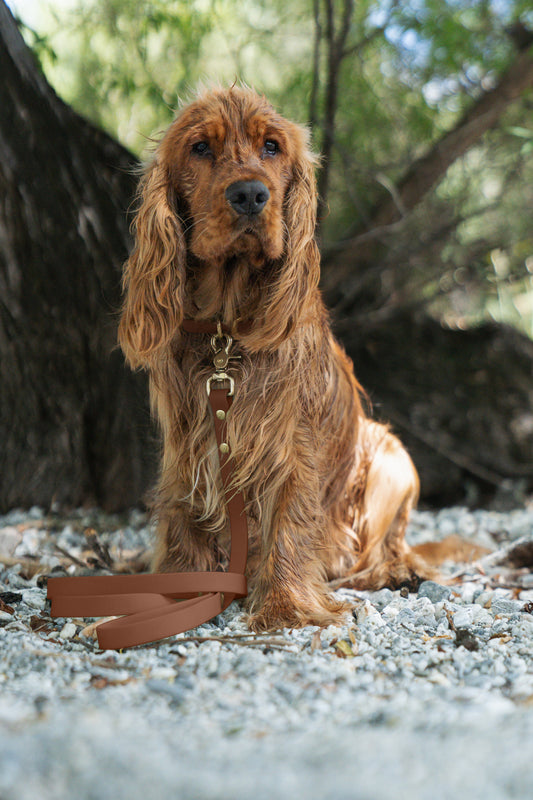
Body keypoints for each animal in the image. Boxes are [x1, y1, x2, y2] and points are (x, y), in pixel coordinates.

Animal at [120, 86, 440, 632]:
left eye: (271, 147)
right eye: (200, 148)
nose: (250, 194)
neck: (226, 333)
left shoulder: (289, 440)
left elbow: (290, 518)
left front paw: (285, 603)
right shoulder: (188, 439)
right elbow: (184, 513)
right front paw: (180, 586)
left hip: (391, 455)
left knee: (382, 548)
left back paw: (391, 571)